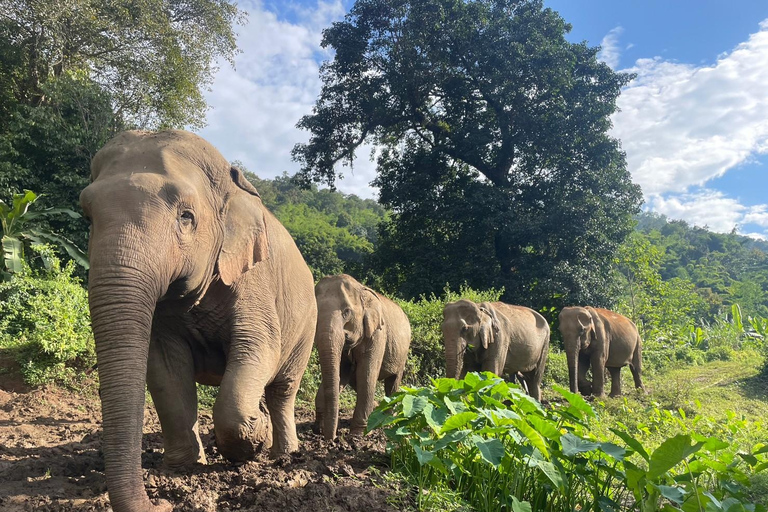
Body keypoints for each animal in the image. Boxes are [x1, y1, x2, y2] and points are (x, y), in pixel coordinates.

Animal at [79, 131, 316, 512]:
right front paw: (184, 468)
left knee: (283, 387)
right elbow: (164, 369)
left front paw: (253, 440)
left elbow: (259, 346)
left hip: (307, 326)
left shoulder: (253, 279)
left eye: (186, 217)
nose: (162, 503)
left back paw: (283, 454)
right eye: (87, 215)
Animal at [312, 276, 412, 440]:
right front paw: (318, 429)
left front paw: (358, 435)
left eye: (347, 312)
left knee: (392, 382)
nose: (331, 439)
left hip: (402, 353)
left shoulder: (377, 334)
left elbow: (366, 374)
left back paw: (387, 418)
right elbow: (341, 373)